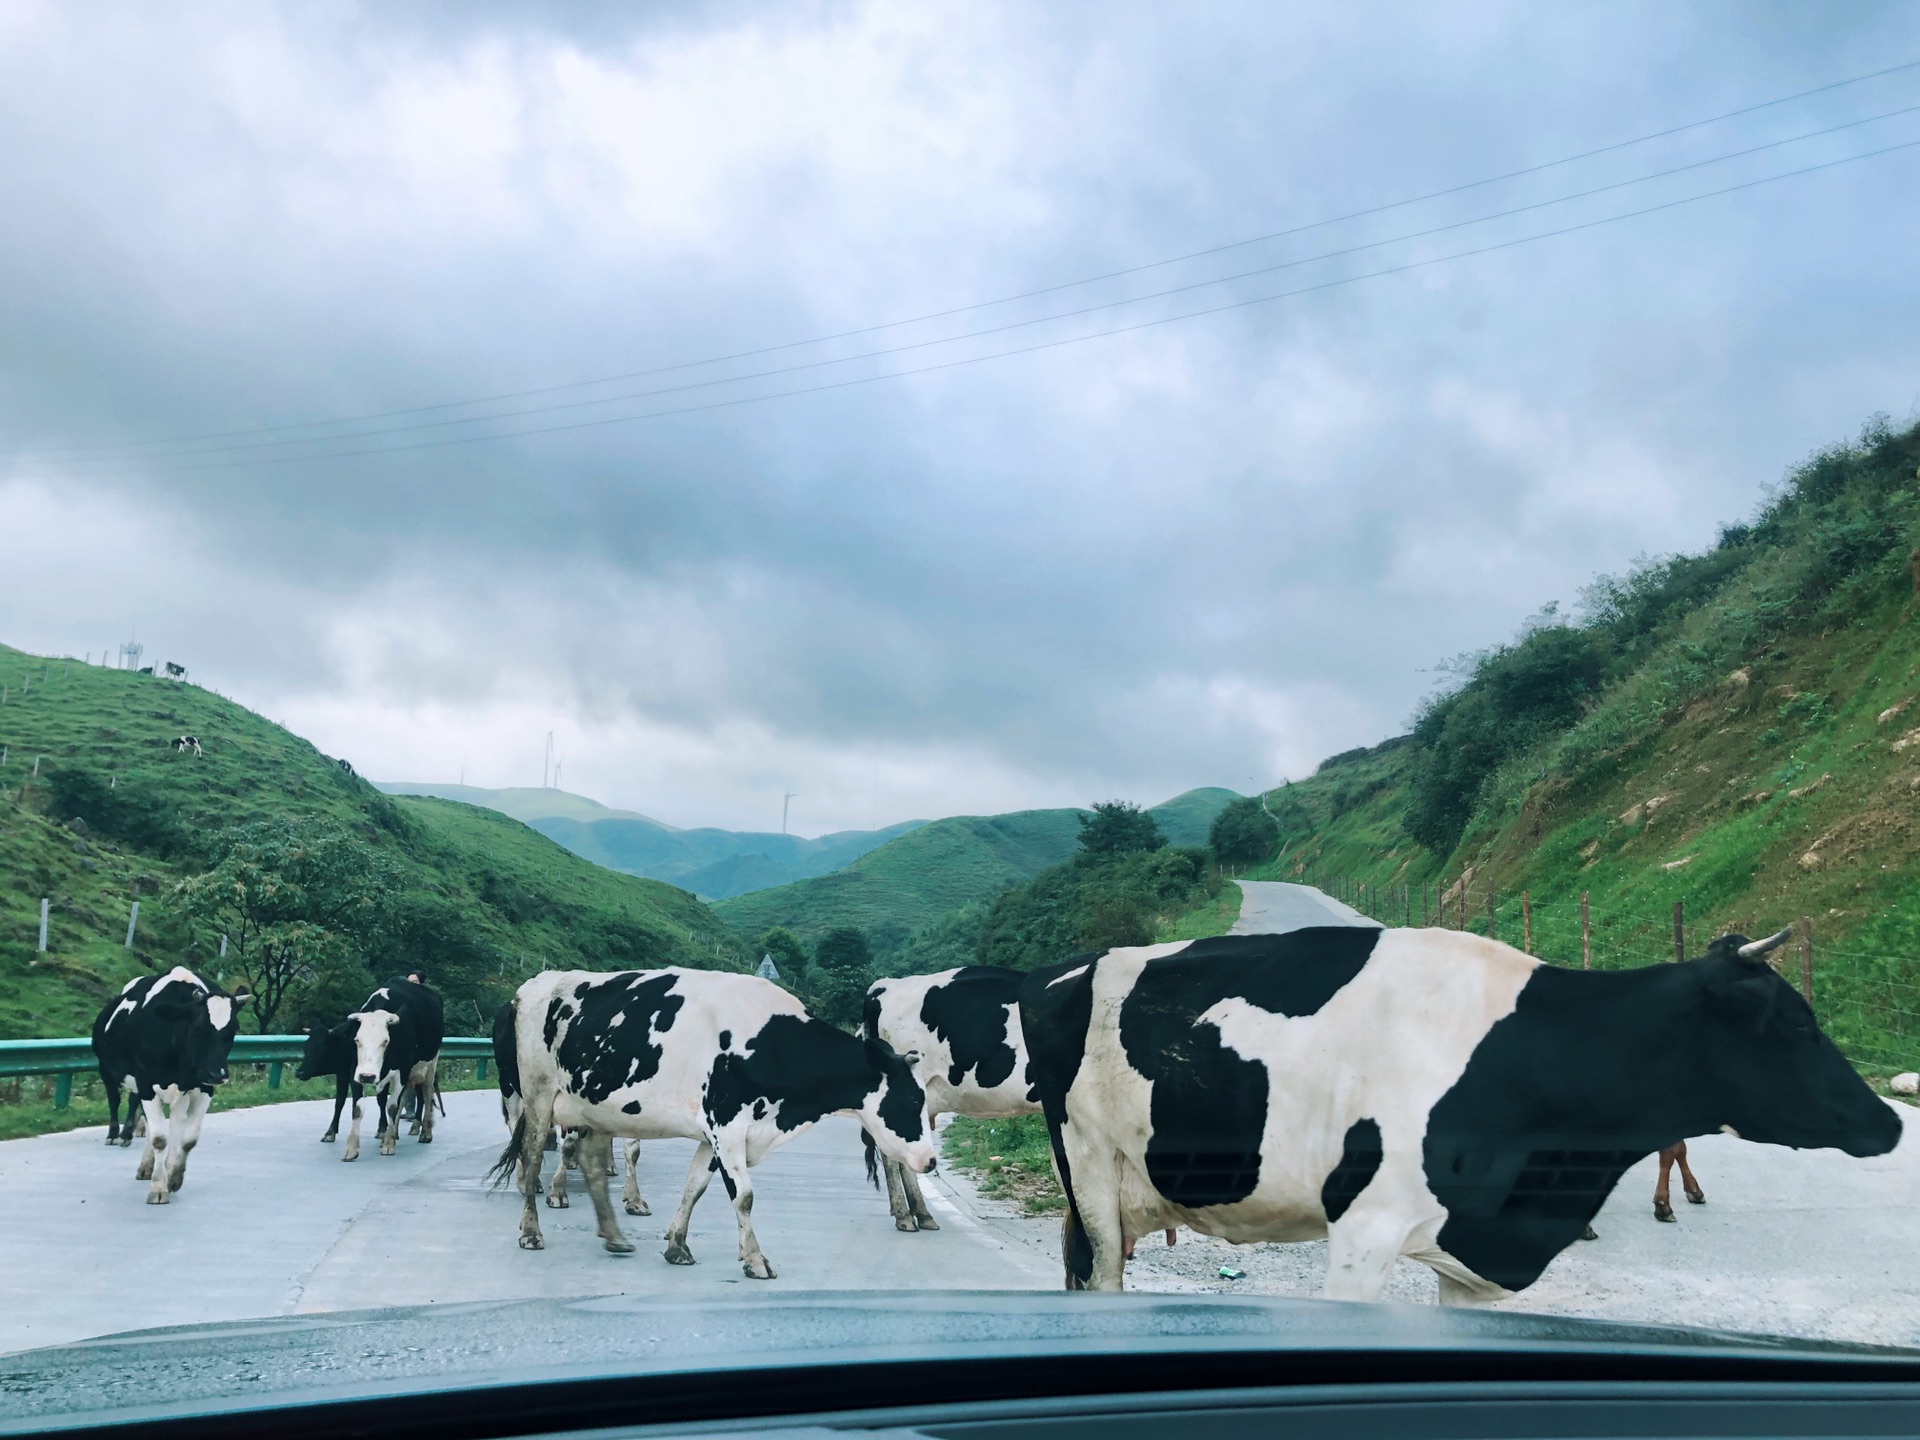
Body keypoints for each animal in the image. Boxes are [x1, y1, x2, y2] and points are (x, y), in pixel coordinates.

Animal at [91, 971, 249, 1205]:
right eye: (199, 1027)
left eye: (233, 1029)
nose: (218, 1074)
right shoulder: (146, 1083)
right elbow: (159, 1138)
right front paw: (158, 1187)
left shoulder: (202, 1088)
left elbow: (187, 1139)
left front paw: (173, 1177)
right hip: (106, 1069)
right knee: (115, 1099)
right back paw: (116, 1135)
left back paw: (148, 1165)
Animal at [491, 971, 933, 1274]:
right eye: (913, 1098)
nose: (930, 1161)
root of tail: (531, 987)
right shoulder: (728, 1125)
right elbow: (744, 1196)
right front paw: (755, 1259)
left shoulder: (715, 1135)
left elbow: (695, 1187)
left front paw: (677, 1245)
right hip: (537, 1097)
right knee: (532, 1159)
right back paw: (531, 1231)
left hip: (596, 1108)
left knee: (592, 1163)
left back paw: (614, 1236)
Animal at [1021, 929, 1904, 1305]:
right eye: (1795, 1024)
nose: (1891, 1124)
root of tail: (1071, 968)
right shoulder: (1365, 1228)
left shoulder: (1481, 1254)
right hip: (1093, 1180)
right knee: (1099, 1275)